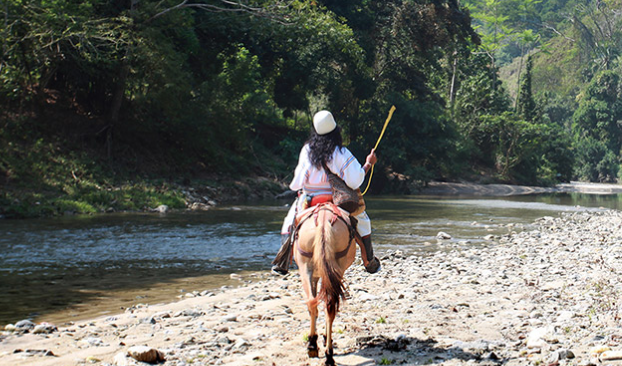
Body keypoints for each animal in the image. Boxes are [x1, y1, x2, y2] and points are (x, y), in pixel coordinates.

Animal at [294, 203, 358, 366]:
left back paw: (313, 345)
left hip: (306, 267)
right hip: (334, 267)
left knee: (315, 302)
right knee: (327, 304)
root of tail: (323, 222)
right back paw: (328, 354)